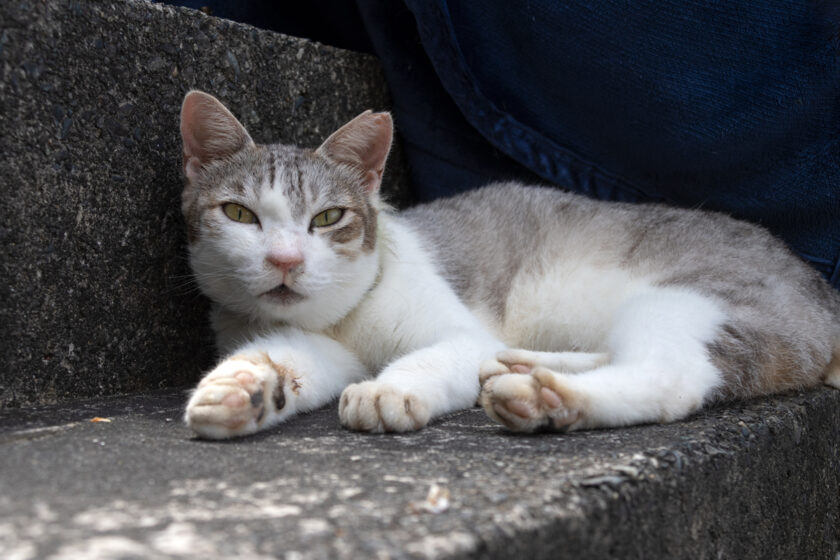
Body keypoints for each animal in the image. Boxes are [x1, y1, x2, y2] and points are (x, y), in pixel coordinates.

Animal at [180, 91, 840, 438]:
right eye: (239, 213)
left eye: (327, 218)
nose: (285, 259)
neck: (338, 321)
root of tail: (821, 284)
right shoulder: (314, 345)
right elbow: (286, 359)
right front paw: (243, 388)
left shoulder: (459, 334)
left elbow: (432, 358)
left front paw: (391, 388)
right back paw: (526, 366)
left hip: (691, 302)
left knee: (669, 378)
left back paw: (543, 397)